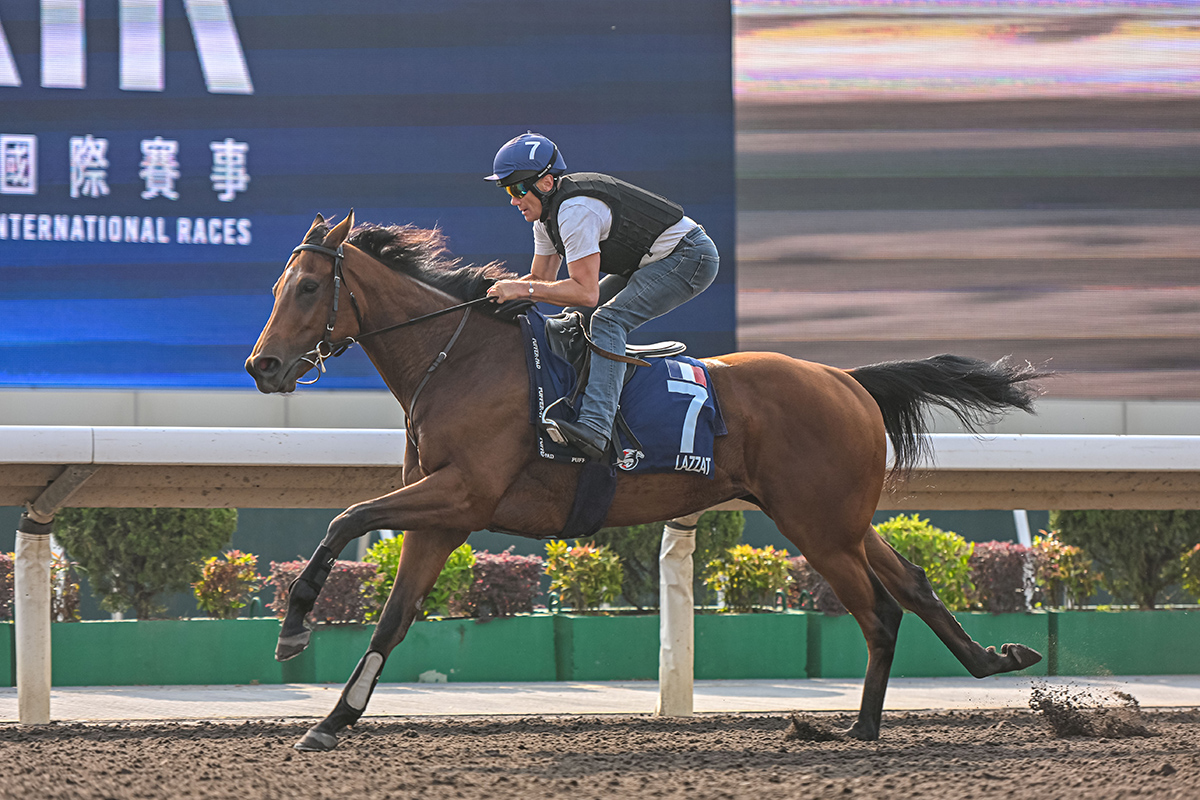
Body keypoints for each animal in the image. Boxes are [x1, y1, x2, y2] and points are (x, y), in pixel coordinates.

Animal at [248, 211, 1046, 753]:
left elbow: (345, 518)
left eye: (310, 286)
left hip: (818, 526)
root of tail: (847, 379)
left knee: (879, 612)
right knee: (912, 582)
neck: (461, 359)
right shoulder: (442, 518)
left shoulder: (464, 492)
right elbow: (392, 616)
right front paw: (330, 721)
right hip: (840, 520)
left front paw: (293, 630)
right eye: (278, 284)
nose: (262, 366)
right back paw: (993, 658)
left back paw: (862, 729)